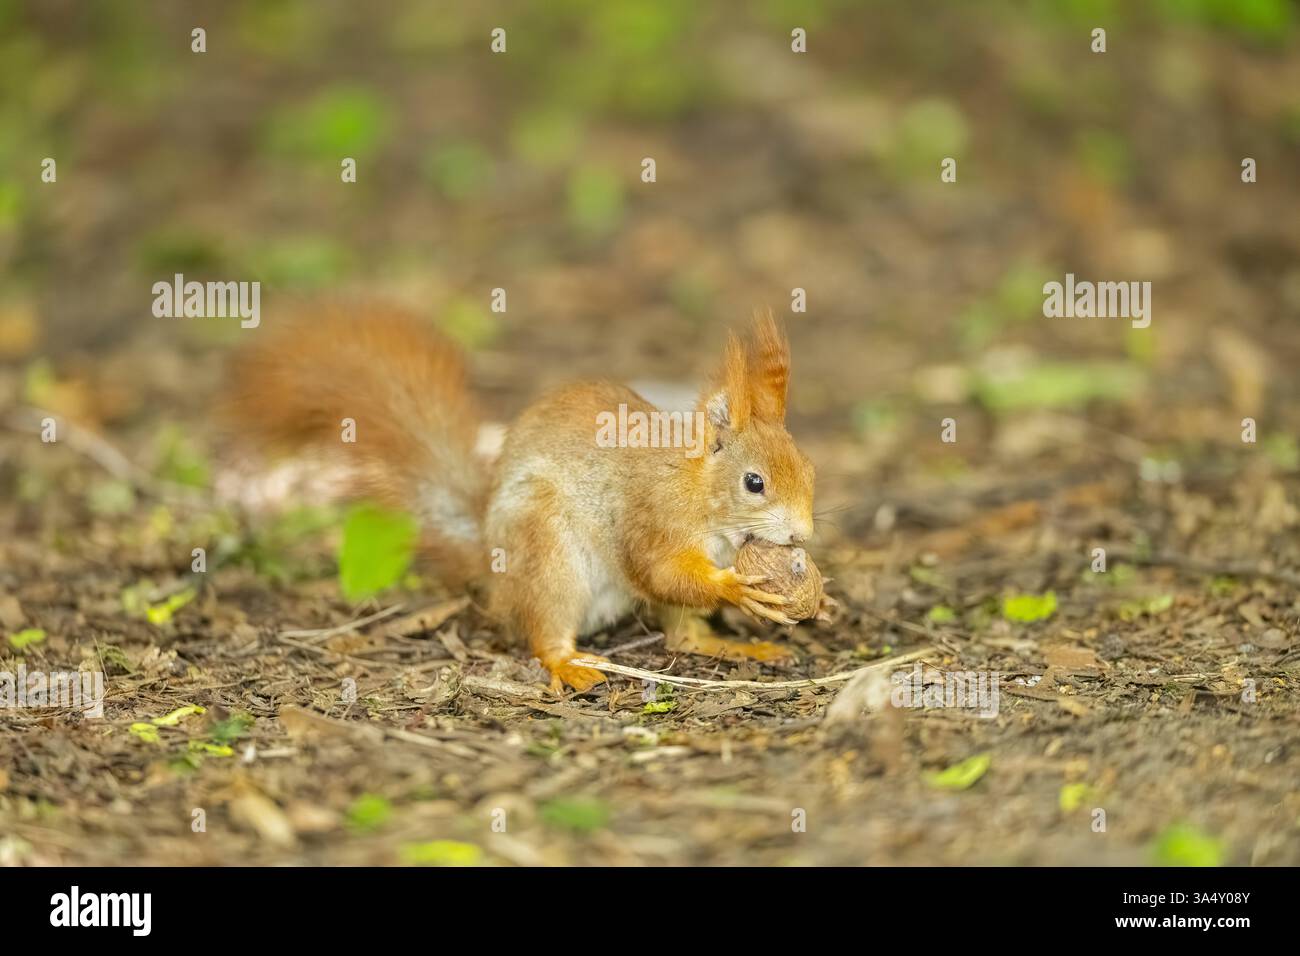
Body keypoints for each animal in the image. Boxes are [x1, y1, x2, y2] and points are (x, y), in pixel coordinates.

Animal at [223, 303, 815, 692]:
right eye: (754, 482)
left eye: (811, 471)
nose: (802, 535)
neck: (699, 493)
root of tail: (491, 563)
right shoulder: (650, 515)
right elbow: (658, 569)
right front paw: (735, 586)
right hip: (546, 555)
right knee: (547, 630)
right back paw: (568, 664)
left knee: (683, 639)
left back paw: (739, 646)